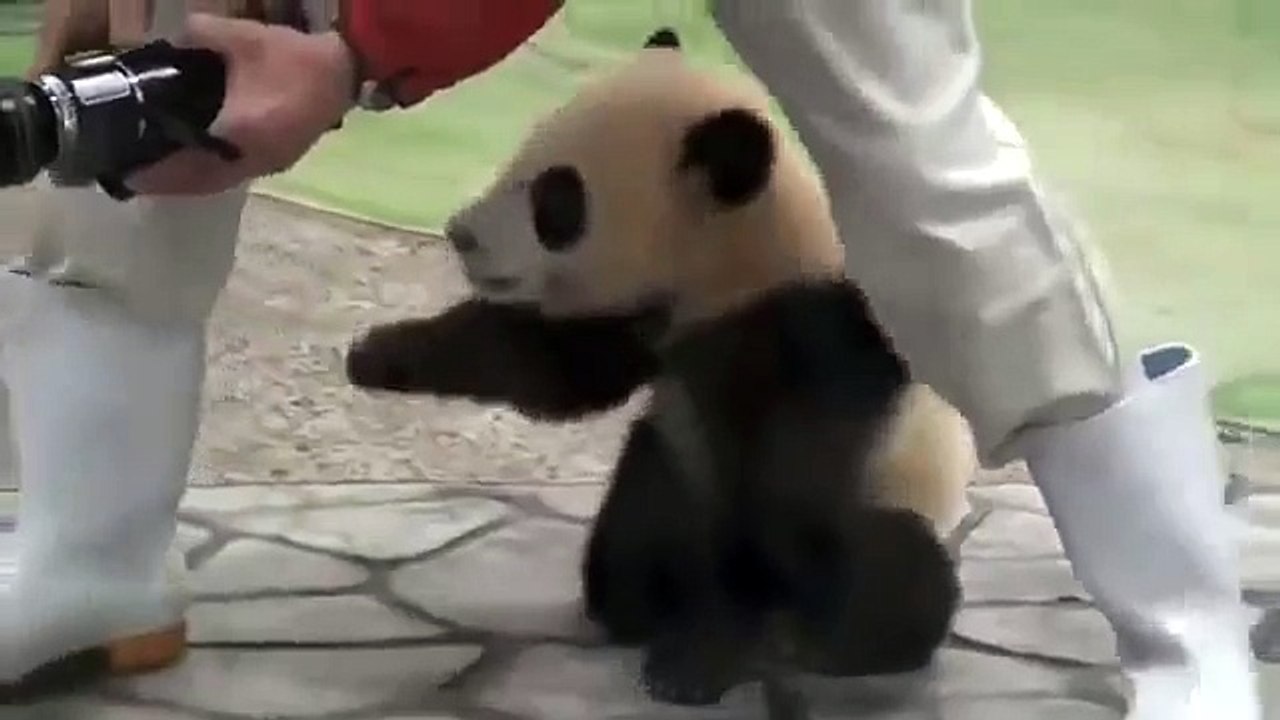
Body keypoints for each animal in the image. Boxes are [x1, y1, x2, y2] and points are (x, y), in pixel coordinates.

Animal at [345, 28, 978, 706]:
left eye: (556, 198)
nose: (461, 232)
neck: (744, 257)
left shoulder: (813, 334)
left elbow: (783, 489)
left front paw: (698, 663)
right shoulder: (648, 319)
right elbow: (556, 369)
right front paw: (379, 352)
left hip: (892, 489)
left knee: (889, 563)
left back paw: (835, 640)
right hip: (671, 470)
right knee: (639, 516)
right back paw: (639, 601)